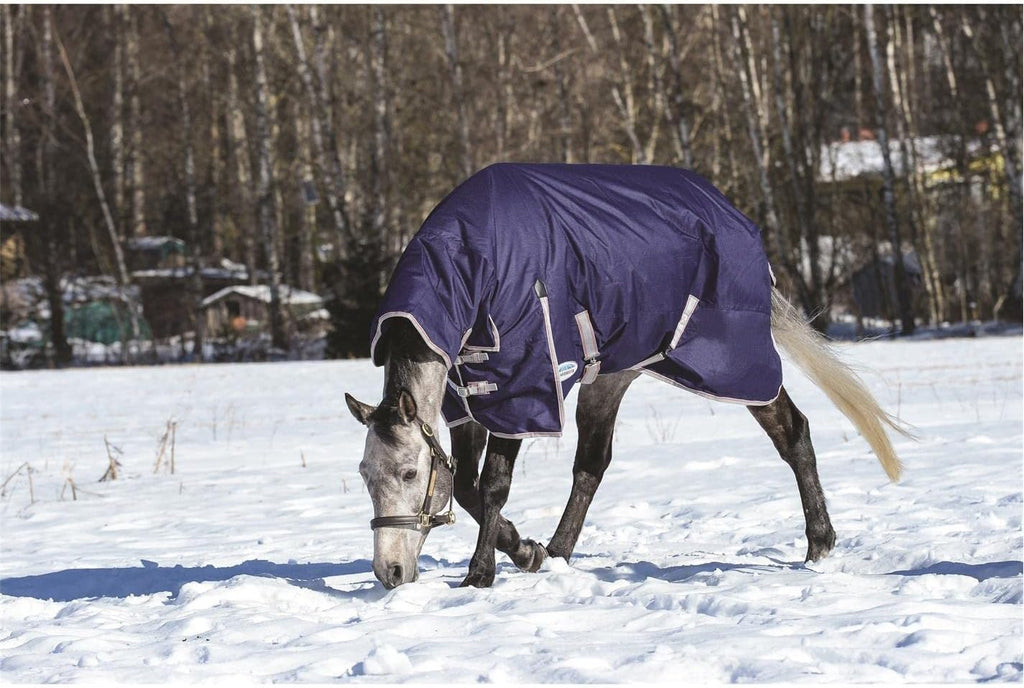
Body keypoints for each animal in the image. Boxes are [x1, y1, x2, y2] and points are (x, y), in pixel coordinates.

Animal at [345, 163, 905, 589]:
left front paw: (481, 574)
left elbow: (492, 487)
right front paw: (524, 550)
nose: (390, 572)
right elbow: (463, 487)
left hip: (732, 363)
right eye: (365, 475)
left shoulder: (526, 388)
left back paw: (819, 544)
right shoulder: (468, 399)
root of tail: (738, 218)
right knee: (591, 466)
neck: (467, 267)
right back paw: (557, 552)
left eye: (409, 475)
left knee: (793, 432)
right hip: (611, 377)